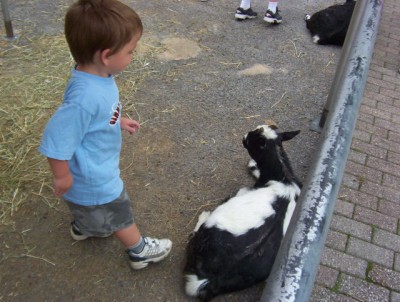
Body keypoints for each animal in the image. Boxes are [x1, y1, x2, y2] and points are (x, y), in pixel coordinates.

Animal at [183, 124, 302, 300]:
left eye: (252, 138)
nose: (244, 136)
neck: (284, 179)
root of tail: (210, 280)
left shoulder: (243, 191)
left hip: (211, 224)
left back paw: (203, 215)